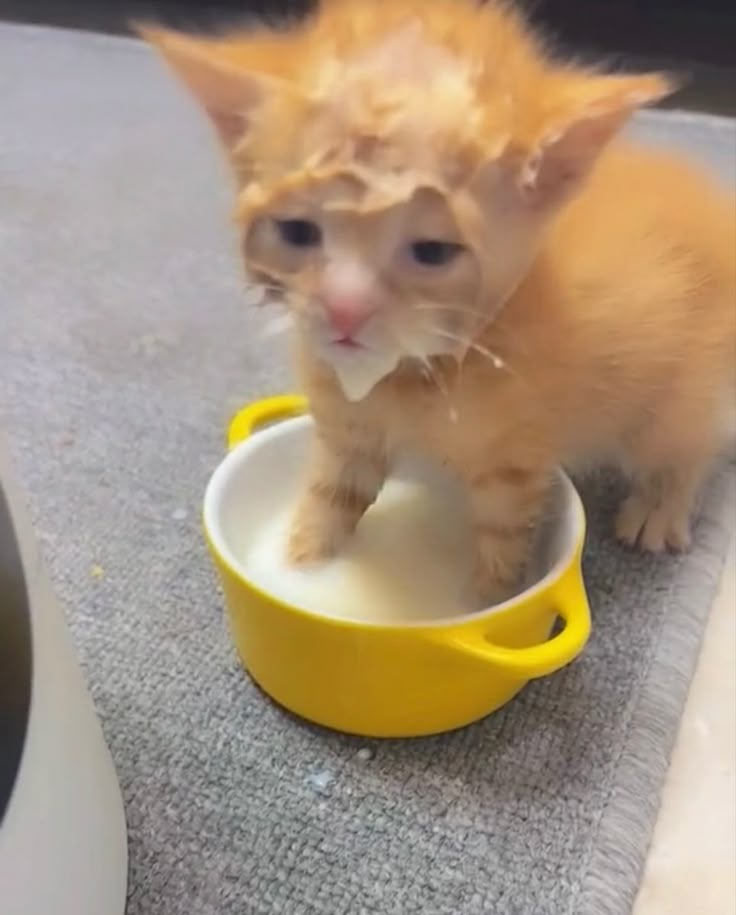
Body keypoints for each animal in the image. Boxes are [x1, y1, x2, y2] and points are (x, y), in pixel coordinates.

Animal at [144, 3, 736, 612]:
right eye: (296, 231)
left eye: (432, 251)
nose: (344, 309)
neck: (416, 374)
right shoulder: (346, 431)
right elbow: (329, 498)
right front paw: (301, 570)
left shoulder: (513, 463)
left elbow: (501, 547)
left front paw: (475, 606)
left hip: (677, 393)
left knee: (692, 443)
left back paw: (662, 506)